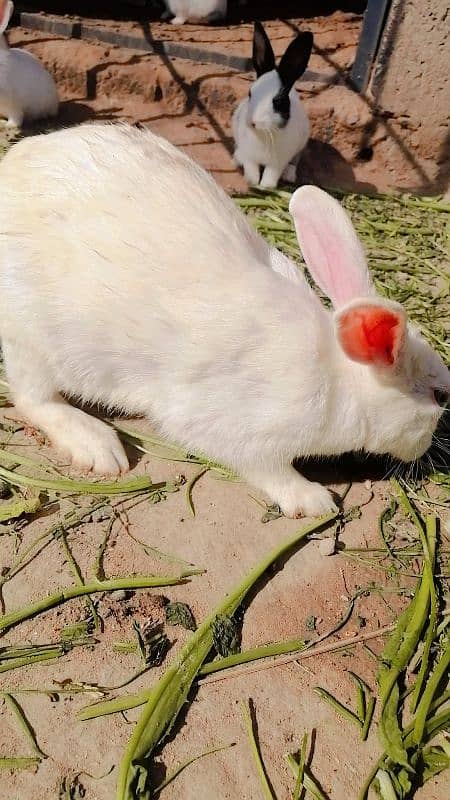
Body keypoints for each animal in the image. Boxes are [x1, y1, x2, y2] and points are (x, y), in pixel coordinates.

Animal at [0, 121, 448, 516]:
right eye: (440, 396)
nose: (428, 448)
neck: (338, 377)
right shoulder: (237, 433)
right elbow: (268, 470)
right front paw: (313, 500)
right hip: (33, 341)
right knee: (33, 397)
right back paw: (99, 447)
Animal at [232, 21, 312, 190]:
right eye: (250, 93)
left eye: (278, 101)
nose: (252, 122)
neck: (263, 133)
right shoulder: (250, 157)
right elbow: (251, 170)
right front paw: (252, 183)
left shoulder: (277, 163)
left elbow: (270, 175)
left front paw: (265, 187)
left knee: (295, 161)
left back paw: (289, 176)